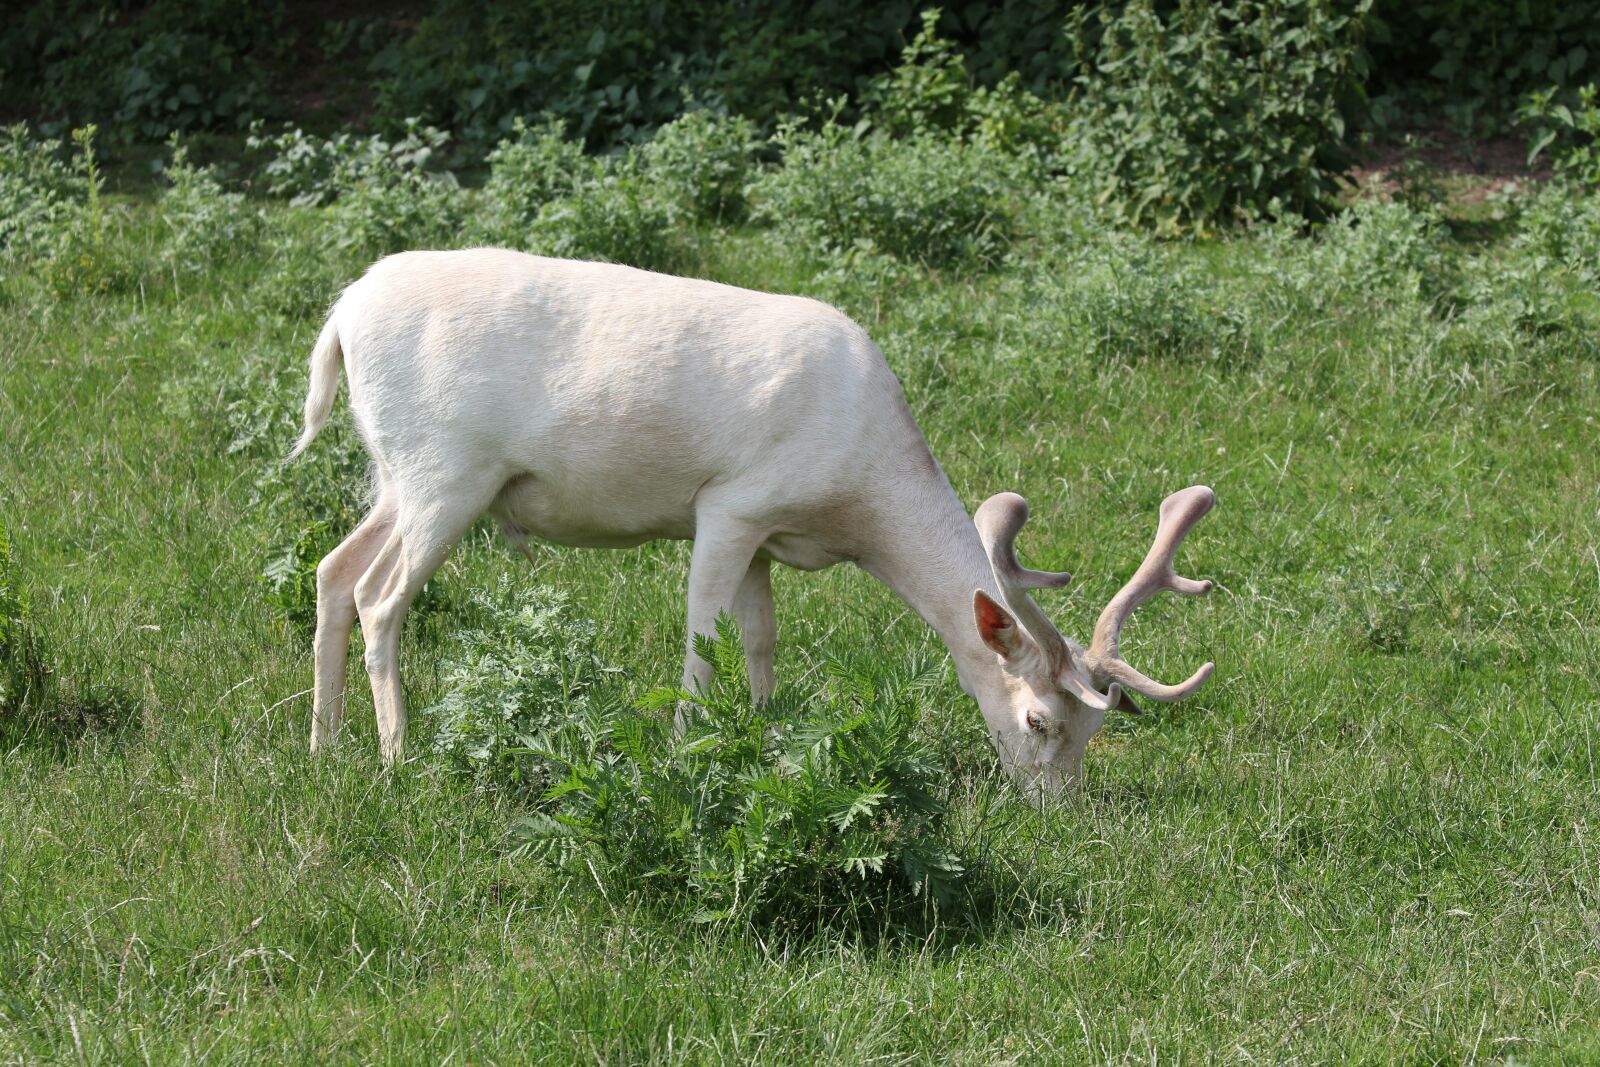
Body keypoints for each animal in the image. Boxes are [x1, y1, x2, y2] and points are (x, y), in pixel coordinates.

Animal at [294, 251, 1209, 796]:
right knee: (380, 596)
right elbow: (702, 642)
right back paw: (398, 757)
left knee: (333, 571)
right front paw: (684, 752)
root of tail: (339, 318)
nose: (1056, 807)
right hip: (446, 470)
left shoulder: (768, 538)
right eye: (1038, 721)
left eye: (1097, 727)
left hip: (396, 474)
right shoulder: (729, 502)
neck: (854, 496)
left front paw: (769, 742)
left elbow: (763, 640)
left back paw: (322, 746)